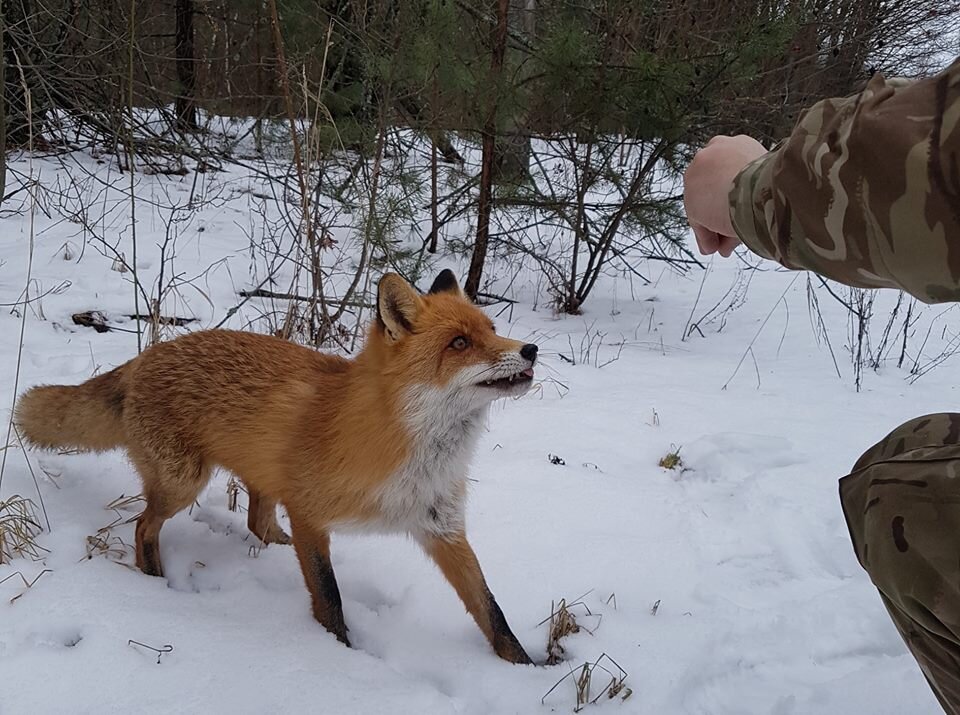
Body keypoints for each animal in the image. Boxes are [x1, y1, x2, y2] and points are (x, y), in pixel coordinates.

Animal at [16, 270, 540, 664]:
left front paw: (523, 670)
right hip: (183, 484)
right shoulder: (310, 515)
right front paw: (341, 655)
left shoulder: (442, 527)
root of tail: (144, 356)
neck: (406, 448)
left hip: (255, 477)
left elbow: (493, 612)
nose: (530, 349)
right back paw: (153, 581)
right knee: (144, 525)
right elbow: (329, 599)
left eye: (492, 328)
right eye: (459, 343)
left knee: (256, 522)